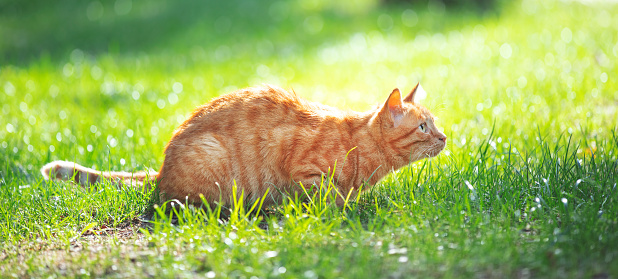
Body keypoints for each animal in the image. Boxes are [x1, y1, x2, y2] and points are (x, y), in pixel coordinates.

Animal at [41, 83, 446, 206]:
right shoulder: (297, 162)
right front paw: (340, 208)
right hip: (211, 162)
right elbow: (325, 195)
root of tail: (161, 169)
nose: (444, 137)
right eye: (423, 127)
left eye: (435, 125)